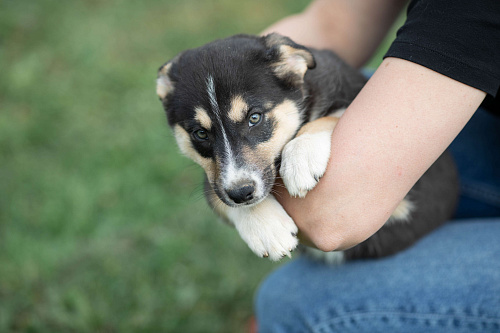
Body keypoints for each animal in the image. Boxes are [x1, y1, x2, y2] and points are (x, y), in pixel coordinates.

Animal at [156, 33, 458, 262]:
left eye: (255, 118)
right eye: (200, 133)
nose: (241, 193)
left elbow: (330, 115)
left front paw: (300, 160)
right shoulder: (217, 179)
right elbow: (214, 190)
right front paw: (266, 228)